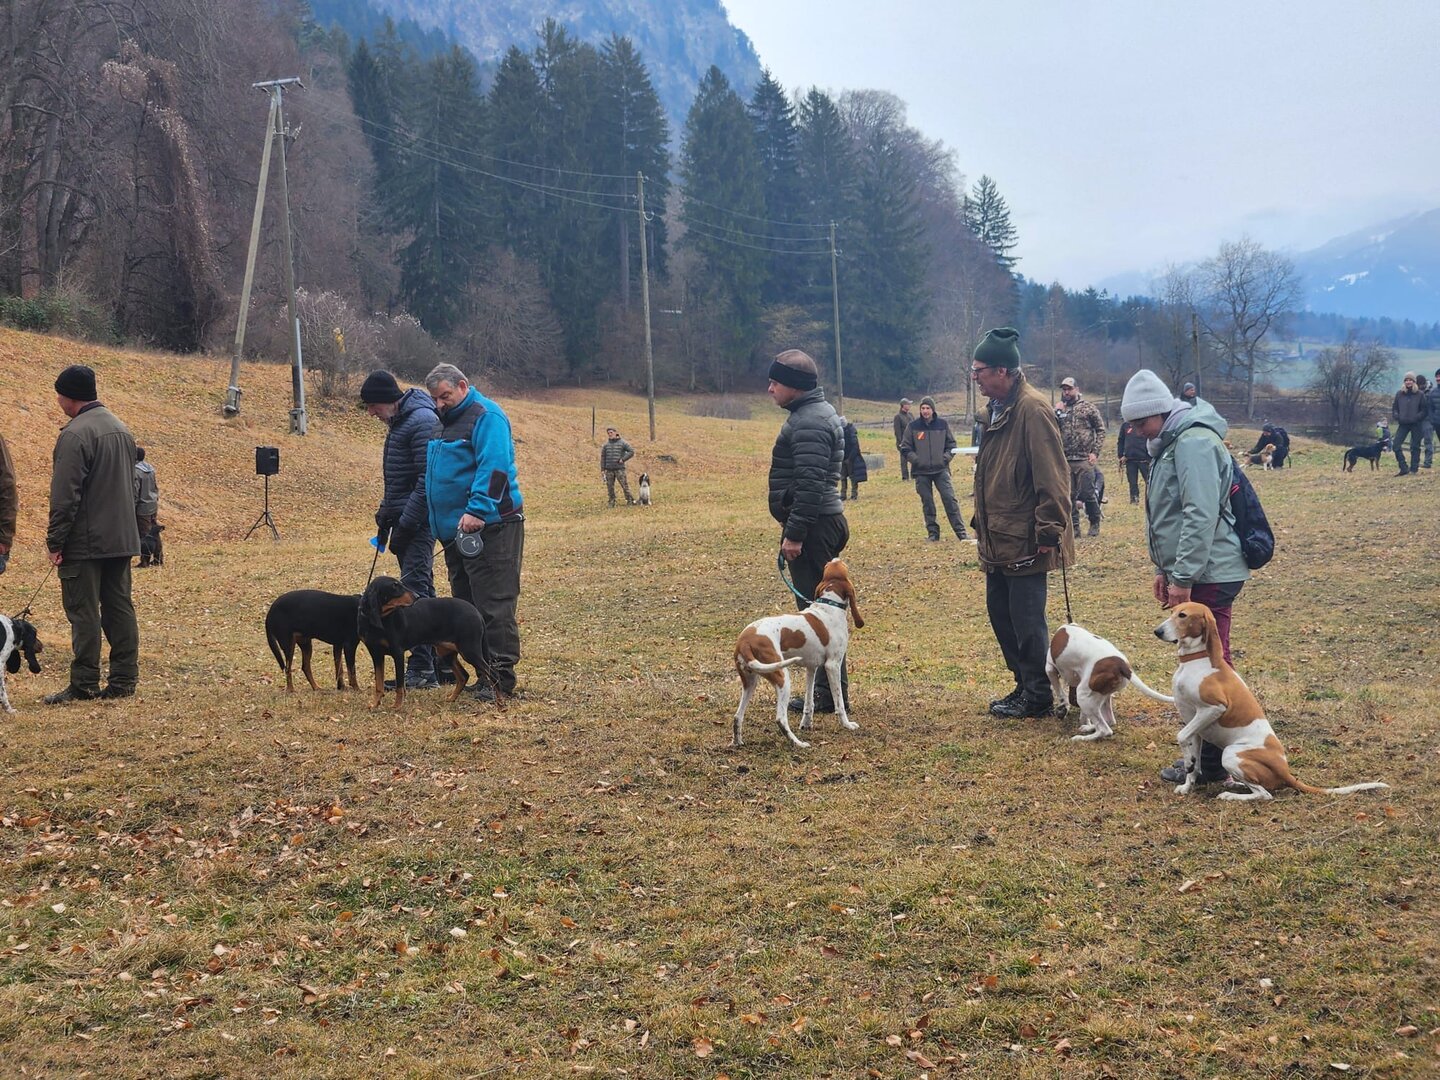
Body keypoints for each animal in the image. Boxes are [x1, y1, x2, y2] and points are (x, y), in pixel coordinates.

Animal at [358, 576, 493, 710]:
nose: (417, 596)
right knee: (464, 676)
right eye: (394, 586)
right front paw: (375, 704)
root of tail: (476, 612)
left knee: (492, 673)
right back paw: (451, 699)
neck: (380, 619)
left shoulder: (398, 653)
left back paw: (497, 703)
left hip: (469, 650)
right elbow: (379, 684)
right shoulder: (376, 654)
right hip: (446, 652)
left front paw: (397, 706)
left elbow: (400, 686)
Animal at [732, 558, 863, 749]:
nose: (835, 558)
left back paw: (737, 742)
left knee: (737, 716)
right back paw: (798, 743)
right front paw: (846, 724)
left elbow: (809, 702)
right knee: (780, 719)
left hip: (750, 682)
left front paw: (806, 724)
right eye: (842, 566)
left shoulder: (811, 668)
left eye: (828, 567)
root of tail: (745, 642)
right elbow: (839, 702)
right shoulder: (832, 665)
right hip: (782, 677)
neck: (829, 605)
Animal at [1045, 623, 1174, 741]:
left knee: (1105, 730)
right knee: (1109, 721)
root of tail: (1121, 664)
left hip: (1083, 695)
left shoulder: (1049, 668)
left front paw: (1064, 707)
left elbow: (1060, 693)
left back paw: (1081, 738)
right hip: (1102, 695)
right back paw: (1088, 728)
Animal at [1156, 603, 1389, 801]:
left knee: (1264, 794)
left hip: (1231, 753)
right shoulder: (1193, 723)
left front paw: (1187, 763)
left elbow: (1180, 735)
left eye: (1183, 615)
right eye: (1172, 611)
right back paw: (1237, 785)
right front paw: (1187, 780)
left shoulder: (1213, 708)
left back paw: (1232, 795)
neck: (1195, 660)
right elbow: (1193, 762)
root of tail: (1286, 772)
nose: (1157, 631)